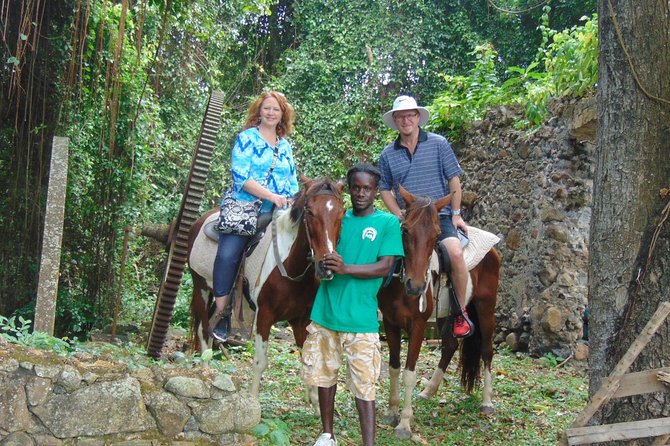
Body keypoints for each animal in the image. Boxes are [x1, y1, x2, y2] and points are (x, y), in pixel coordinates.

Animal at [189, 176, 346, 406]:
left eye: (341, 213)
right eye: (309, 212)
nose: (326, 267)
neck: (290, 268)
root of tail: (201, 220)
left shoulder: (301, 320)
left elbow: (308, 363)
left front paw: (317, 406)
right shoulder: (264, 316)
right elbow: (260, 362)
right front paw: (253, 402)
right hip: (200, 286)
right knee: (203, 329)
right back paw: (205, 372)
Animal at [380, 186, 454, 440]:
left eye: (437, 233)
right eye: (405, 230)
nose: (417, 286)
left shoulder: (419, 326)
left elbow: (409, 373)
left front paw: (404, 424)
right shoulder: (390, 323)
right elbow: (393, 367)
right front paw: (392, 412)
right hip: (444, 318)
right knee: (451, 345)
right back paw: (429, 391)